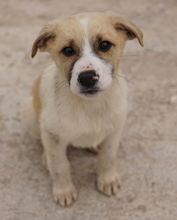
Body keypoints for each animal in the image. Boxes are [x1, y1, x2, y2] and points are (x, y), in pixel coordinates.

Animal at [21, 11, 143, 207]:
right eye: (67, 50)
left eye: (105, 45)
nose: (87, 78)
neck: (89, 106)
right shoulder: (52, 134)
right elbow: (60, 165)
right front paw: (63, 190)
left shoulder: (114, 131)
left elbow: (108, 157)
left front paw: (107, 179)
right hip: (29, 114)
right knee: (42, 141)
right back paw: (46, 157)